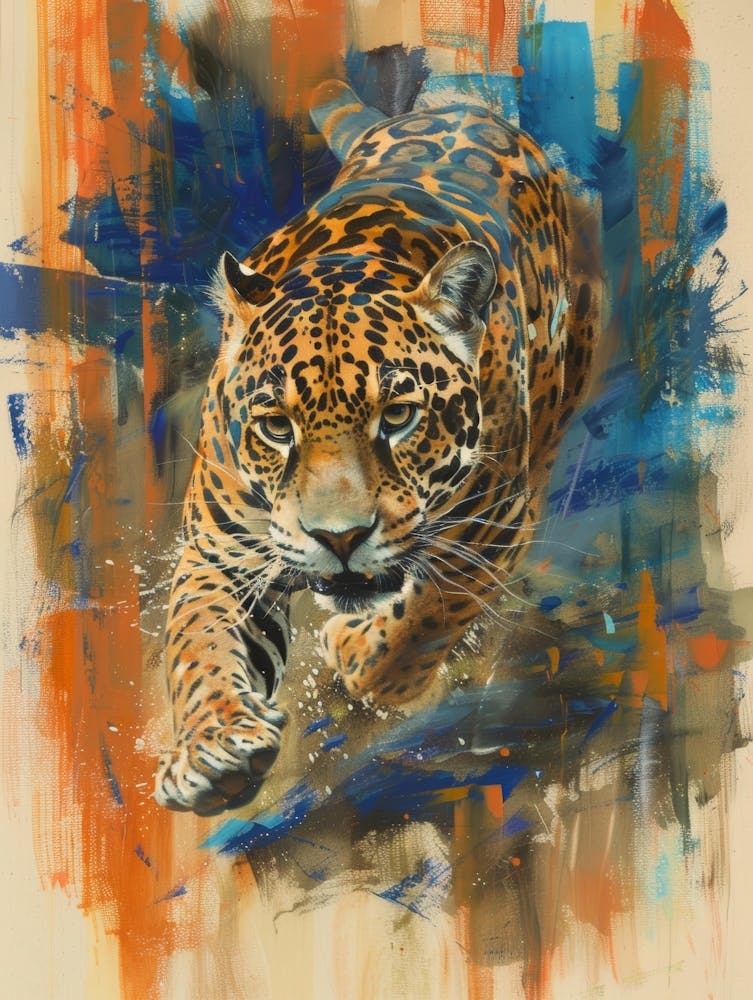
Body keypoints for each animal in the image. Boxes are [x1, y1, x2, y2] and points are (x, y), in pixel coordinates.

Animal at [154, 80, 601, 816]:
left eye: (397, 416)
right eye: (277, 427)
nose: (338, 538)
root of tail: (458, 106)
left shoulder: (491, 524)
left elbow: (425, 617)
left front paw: (357, 651)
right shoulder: (224, 552)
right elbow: (200, 642)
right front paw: (213, 749)